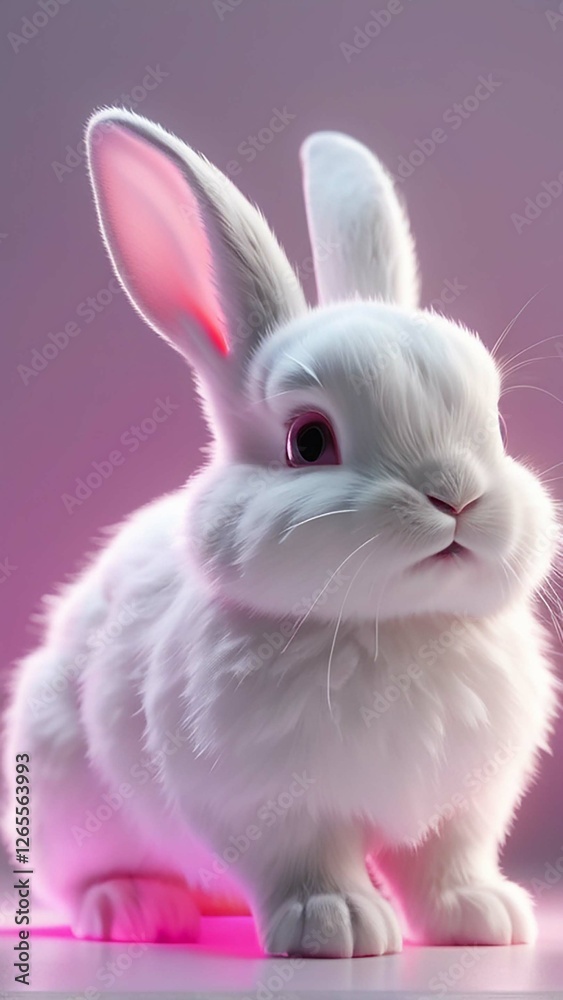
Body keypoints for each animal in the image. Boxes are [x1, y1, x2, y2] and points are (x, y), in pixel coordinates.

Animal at [2, 108, 559, 958]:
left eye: (494, 426)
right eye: (307, 441)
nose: (456, 497)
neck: (394, 626)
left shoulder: (465, 803)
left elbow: (444, 862)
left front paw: (483, 918)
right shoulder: (271, 810)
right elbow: (306, 863)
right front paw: (335, 926)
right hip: (62, 791)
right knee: (80, 880)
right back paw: (136, 909)